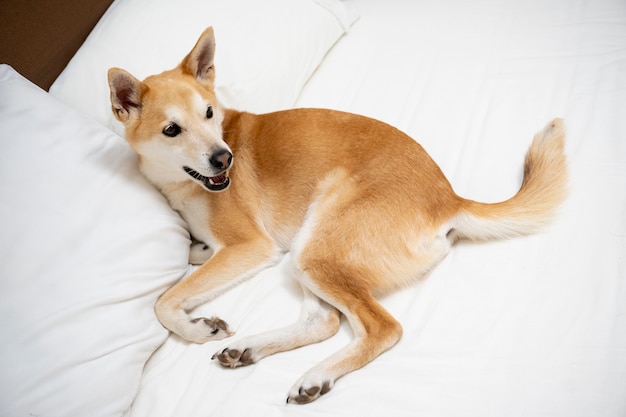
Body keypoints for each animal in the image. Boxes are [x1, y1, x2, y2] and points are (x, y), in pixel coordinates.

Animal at [106, 26, 564, 404]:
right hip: (306, 249)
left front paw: (197, 329)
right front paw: (196, 252)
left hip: (315, 248)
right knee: (323, 322)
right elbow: (191, 255)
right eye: (171, 130)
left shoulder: (250, 246)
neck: (183, 181)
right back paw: (250, 349)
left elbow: (165, 302)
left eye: (208, 113)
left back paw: (315, 376)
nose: (225, 158)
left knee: (381, 328)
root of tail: (449, 197)